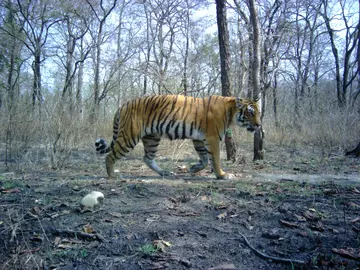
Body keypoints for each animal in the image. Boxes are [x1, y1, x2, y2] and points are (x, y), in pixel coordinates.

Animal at [94, 95, 260, 179]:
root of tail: (122, 105)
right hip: (129, 136)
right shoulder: (212, 138)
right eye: (250, 113)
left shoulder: (199, 139)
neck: (231, 112)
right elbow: (215, 159)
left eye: (258, 112)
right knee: (110, 156)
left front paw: (194, 169)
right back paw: (113, 176)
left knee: (147, 158)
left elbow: (205, 159)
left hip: (152, 138)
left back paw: (164, 172)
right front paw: (222, 175)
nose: (259, 125)